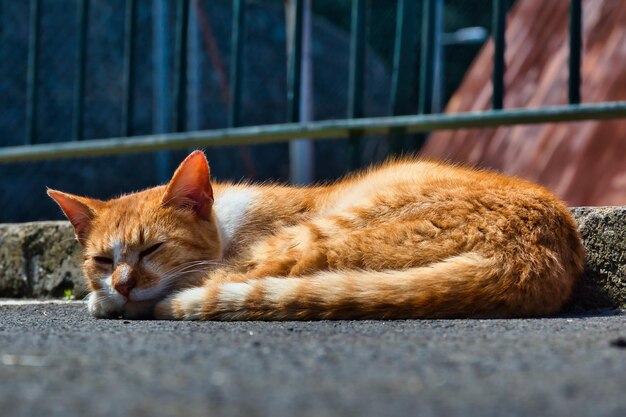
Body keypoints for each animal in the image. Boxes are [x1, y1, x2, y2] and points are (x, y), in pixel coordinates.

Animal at [46, 151, 584, 320]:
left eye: (153, 248)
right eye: (101, 260)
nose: (121, 284)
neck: (228, 223)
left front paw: (104, 301)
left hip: (315, 236)